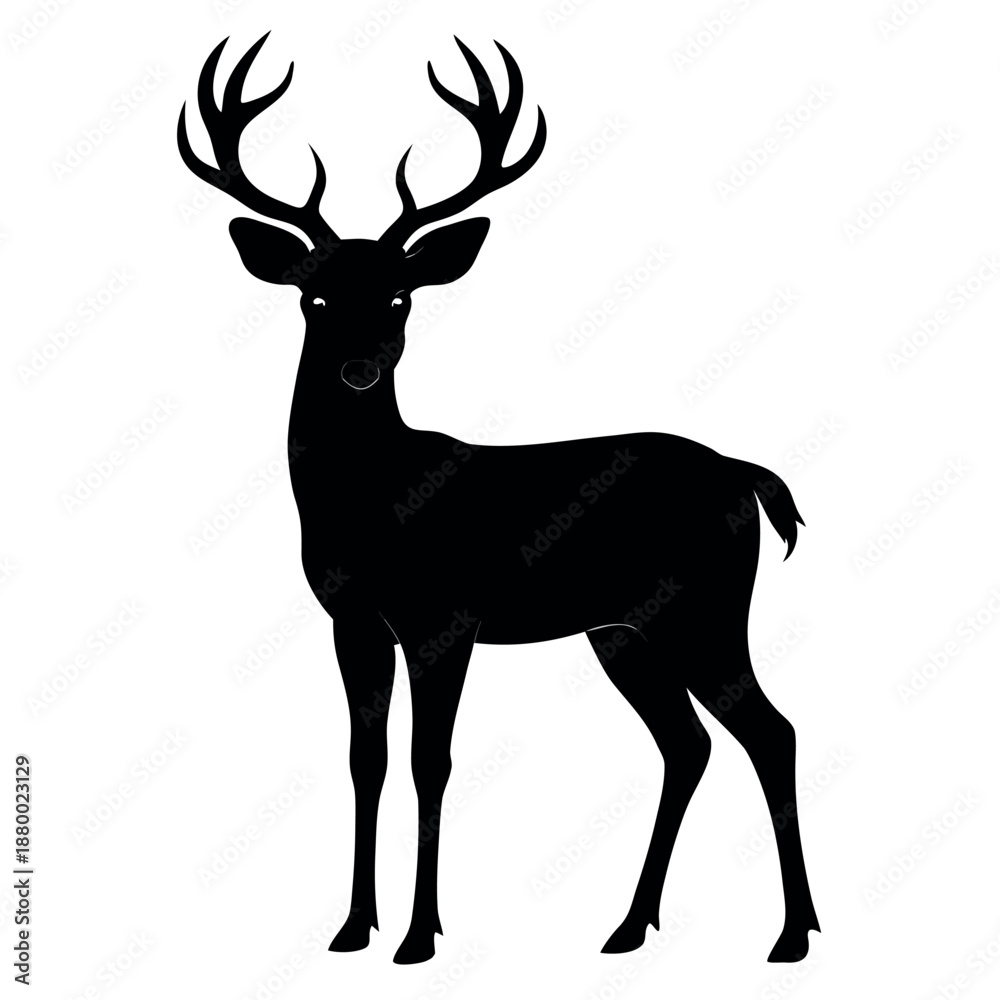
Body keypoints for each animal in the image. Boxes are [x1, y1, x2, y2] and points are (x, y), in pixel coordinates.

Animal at [178, 33, 821, 965]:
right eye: (315, 295)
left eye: (401, 296)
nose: (359, 367)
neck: (374, 503)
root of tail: (752, 476)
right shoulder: (350, 618)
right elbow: (365, 760)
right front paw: (352, 927)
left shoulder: (445, 615)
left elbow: (430, 763)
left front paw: (419, 935)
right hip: (622, 629)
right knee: (689, 744)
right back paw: (629, 926)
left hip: (704, 608)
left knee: (771, 731)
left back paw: (793, 934)